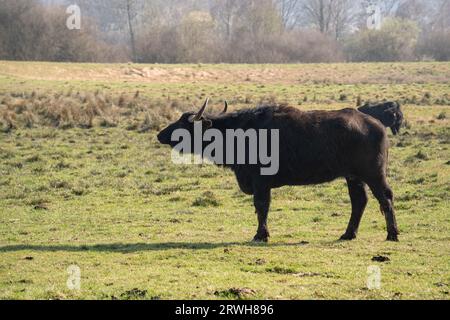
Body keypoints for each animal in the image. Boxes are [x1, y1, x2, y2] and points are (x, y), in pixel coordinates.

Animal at [156, 100, 400, 242]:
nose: (160, 134)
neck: (238, 133)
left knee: (385, 198)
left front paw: (261, 235)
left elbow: (261, 206)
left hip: (373, 174)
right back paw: (348, 234)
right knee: (359, 201)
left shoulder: (260, 182)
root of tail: (377, 125)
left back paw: (392, 233)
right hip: (353, 177)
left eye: (183, 123)